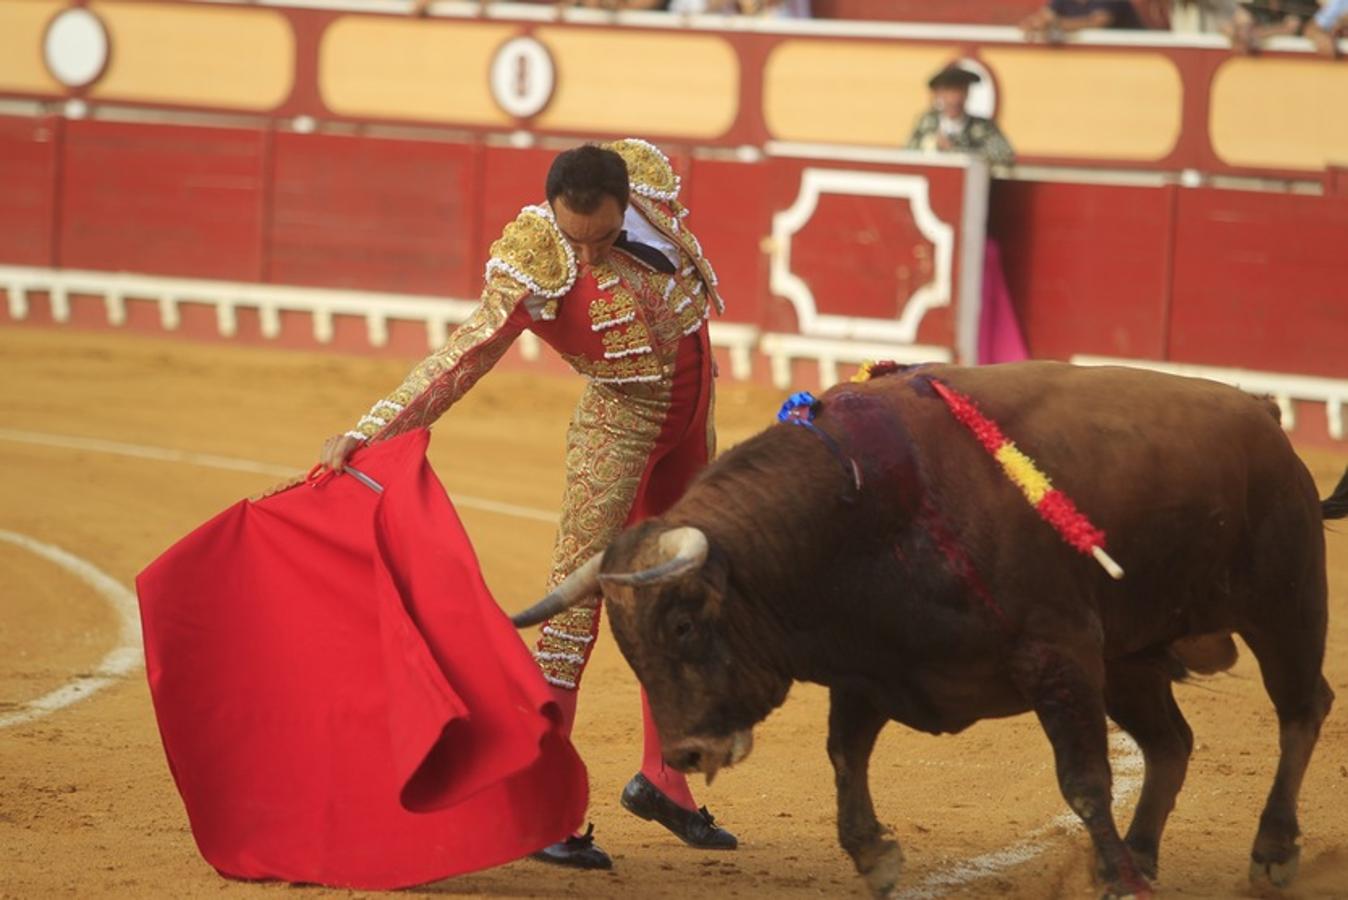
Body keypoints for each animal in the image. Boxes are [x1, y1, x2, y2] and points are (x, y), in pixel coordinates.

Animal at [506, 361, 1348, 894]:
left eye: (683, 625)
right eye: (628, 647)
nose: (687, 752)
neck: (864, 509)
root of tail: (1261, 413)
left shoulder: (1060, 655)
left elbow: (1083, 780)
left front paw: (1115, 876)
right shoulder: (870, 666)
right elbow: (846, 755)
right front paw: (875, 855)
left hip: (1285, 603)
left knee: (1302, 708)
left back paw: (1270, 850)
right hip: (1135, 655)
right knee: (1171, 742)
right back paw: (1142, 853)